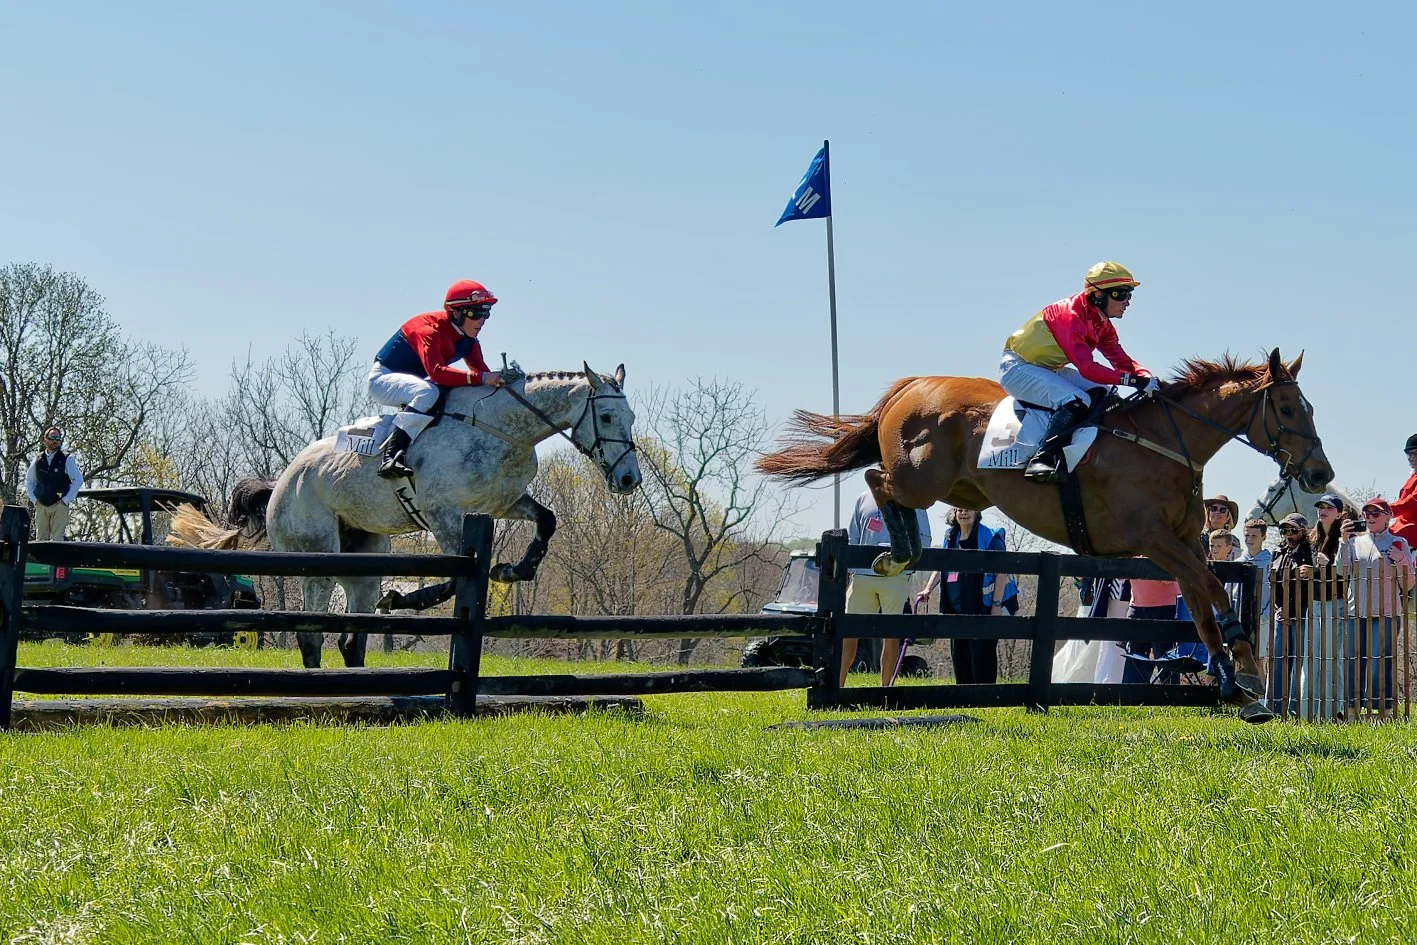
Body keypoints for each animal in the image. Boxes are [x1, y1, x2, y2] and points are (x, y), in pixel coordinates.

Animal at [172, 363, 641, 668]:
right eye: (605, 416)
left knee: (351, 637)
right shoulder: (443, 514)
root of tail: (281, 481)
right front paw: (404, 599)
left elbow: (546, 520)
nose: (628, 478)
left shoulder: (503, 504)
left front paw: (516, 569)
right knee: (312, 631)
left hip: (363, 561)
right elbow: (454, 577)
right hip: (316, 557)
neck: (502, 429)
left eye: (631, 417)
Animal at [756, 349, 1333, 723]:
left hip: (964, 491)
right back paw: (899, 551)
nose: (1320, 474)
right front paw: (1249, 672)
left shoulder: (1184, 542)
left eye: (1309, 409)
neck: (1165, 444)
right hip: (922, 478)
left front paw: (1236, 683)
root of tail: (915, 383)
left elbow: (1200, 601)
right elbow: (1212, 590)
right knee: (879, 479)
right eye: (1287, 409)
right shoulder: (1153, 540)